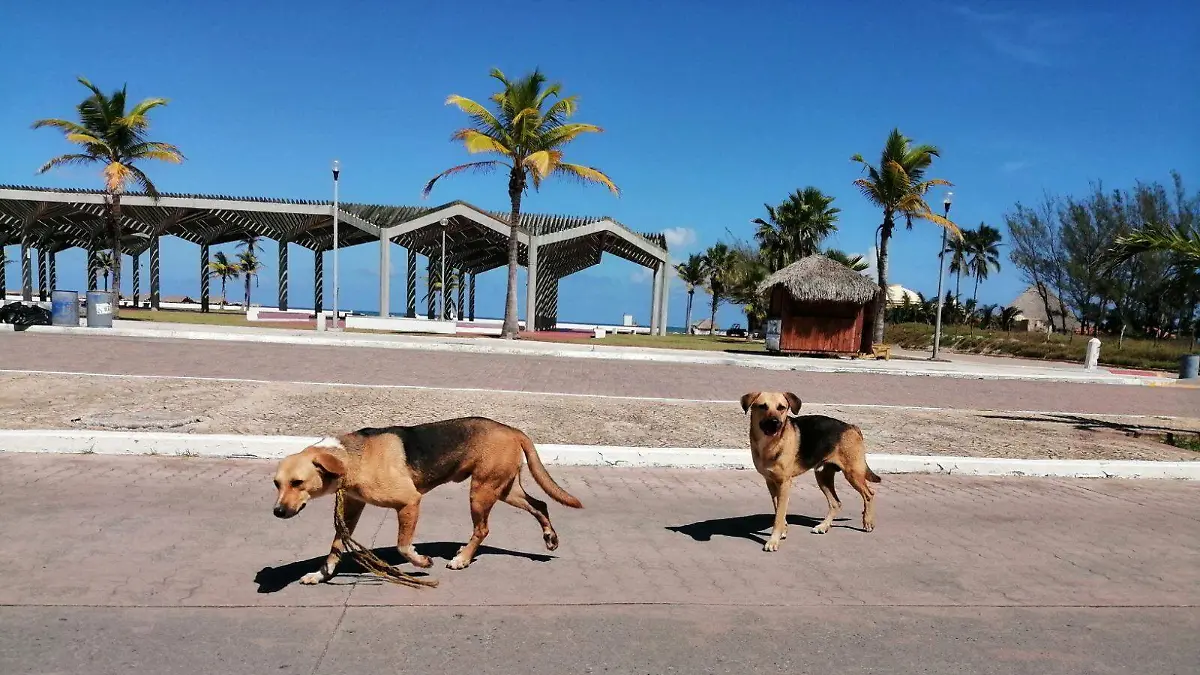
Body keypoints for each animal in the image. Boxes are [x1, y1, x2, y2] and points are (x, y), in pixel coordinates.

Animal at [276, 415, 585, 578]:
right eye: (276, 484)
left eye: (298, 482)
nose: (277, 512)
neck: (352, 458)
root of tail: (512, 430)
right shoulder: (352, 508)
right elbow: (336, 546)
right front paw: (321, 575)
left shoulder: (409, 502)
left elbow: (403, 546)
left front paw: (422, 562)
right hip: (505, 489)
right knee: (540, 504)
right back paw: (549, 537)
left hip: (482, 492)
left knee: (482, 529)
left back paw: (462, 559)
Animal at [734, 391, 878, 550]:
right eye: (762, 406)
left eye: (781, 407)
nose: (775, 423)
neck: (770, 444)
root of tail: (852, 426)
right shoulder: (771, 482)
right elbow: (778, 510)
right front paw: (783, 530)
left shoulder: (784, 483)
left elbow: (779, 515)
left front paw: (773, 540)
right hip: (823, 477)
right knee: (836, 503)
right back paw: (823, 526)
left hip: (853, 473)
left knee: (869, 494)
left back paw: (867, 521)